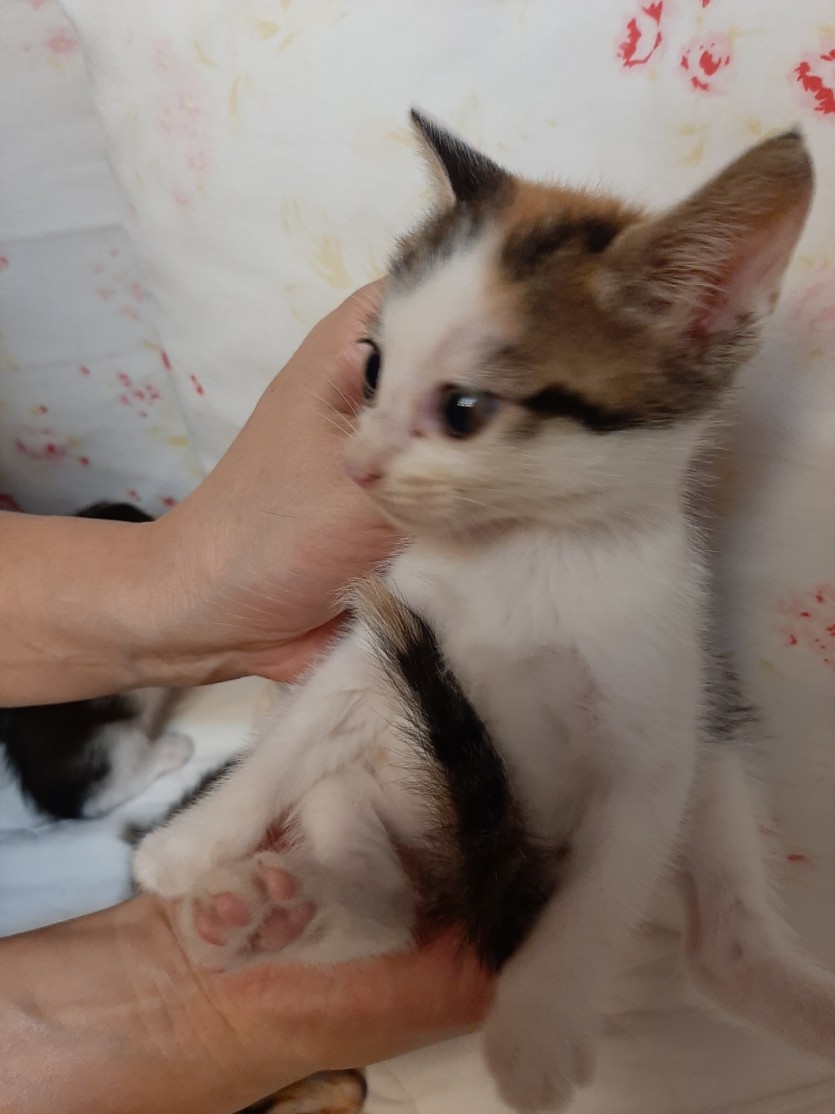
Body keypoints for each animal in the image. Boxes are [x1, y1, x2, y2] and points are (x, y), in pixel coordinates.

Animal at [133, 112, 835, 1113]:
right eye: (372, 367)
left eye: (463, 409)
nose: (354, 468)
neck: (524, 554)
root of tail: (458, 871)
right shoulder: (382, 640)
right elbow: (291, 737)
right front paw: (191, 841)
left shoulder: (656, 723)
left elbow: (601, 890)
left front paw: (536, 1025)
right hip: (369, 783)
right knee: (386, 910)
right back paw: (276, 912)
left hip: (720, 768)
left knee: (726, 948)